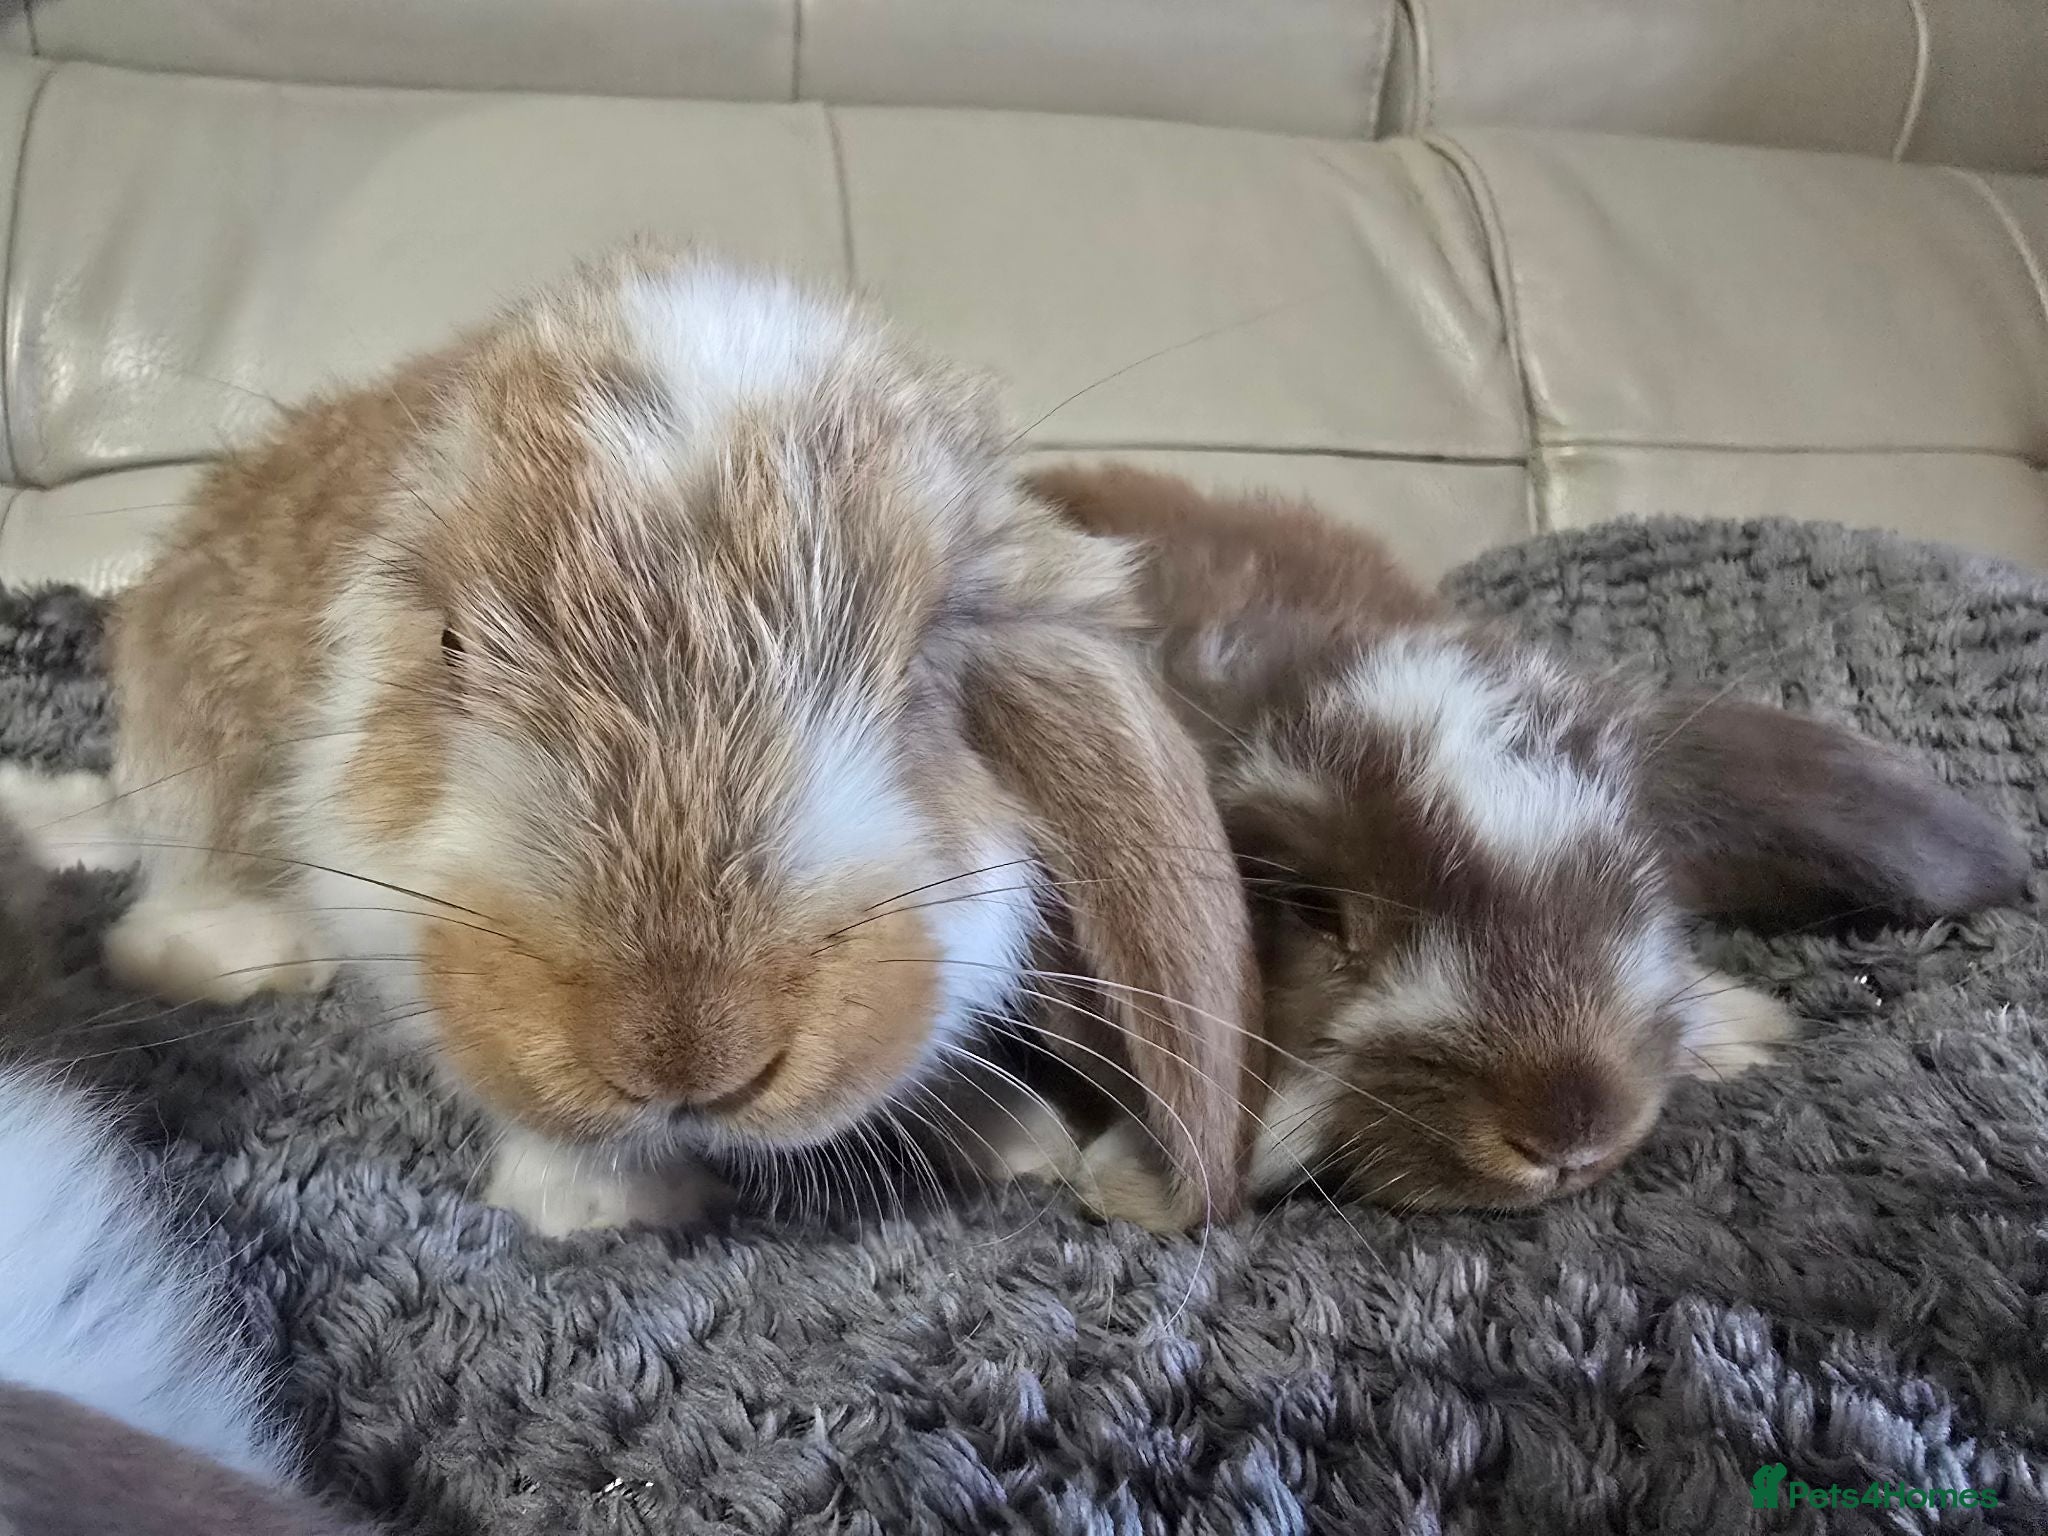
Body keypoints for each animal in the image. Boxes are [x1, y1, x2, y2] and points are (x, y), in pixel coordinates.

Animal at [15, 248, 1255, 1236]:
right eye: (452, 646)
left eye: (921, 675)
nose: (683, 1051)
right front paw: (602, 1208)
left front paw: (1014, 1134)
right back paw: (232, 952)